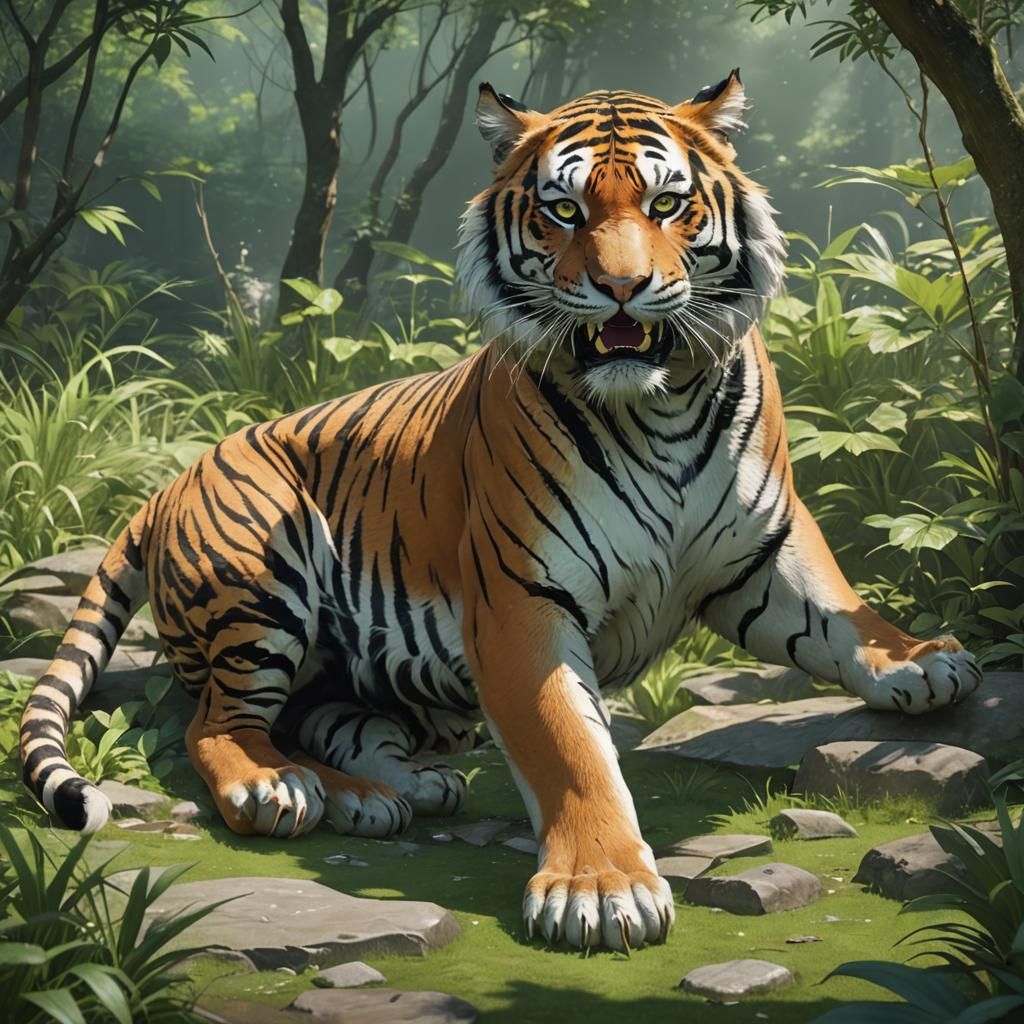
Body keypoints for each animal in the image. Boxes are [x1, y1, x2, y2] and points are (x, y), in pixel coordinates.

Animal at [20, 71, 982, 953]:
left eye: (669, 205)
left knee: (321, 717)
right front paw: (601, 889)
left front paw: (921, 663)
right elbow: (571, 749)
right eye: (563, 210)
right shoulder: (523, 601)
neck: (660, 403)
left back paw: (390, 791)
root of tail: (167, 484)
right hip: (263, 564)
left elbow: (841, 610)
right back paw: (285, 789)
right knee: (218, 725)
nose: (623, 287)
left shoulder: (762, 550)